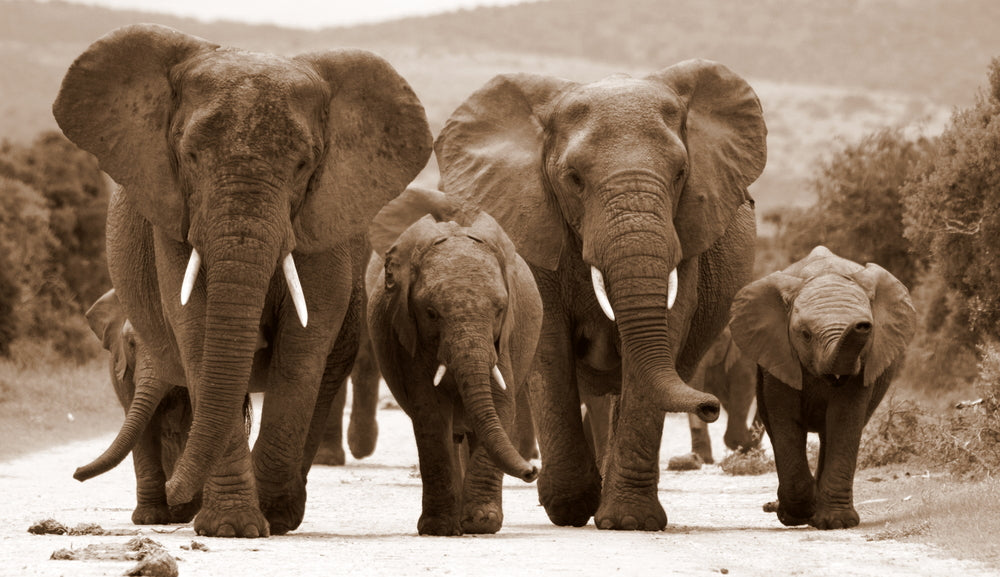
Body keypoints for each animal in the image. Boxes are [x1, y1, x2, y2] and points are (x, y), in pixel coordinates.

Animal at [85, 289, 200, 525]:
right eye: (130, 343)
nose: (76, 473)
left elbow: (192, 423)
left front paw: (180, 508)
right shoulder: (124, 370)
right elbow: (142, 426)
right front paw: (149, 518)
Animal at [366, 186, 542, 535]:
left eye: (500, 310)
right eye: (431, 313)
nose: (532, 471)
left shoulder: (505, 338)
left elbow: (500, 401)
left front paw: (481, 523)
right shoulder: (408, 334)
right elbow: (430, 412)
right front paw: (439, 528)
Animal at [729, 246, 916, 529]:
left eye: (869, 331)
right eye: (805, 335)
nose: (862, 324)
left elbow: (843, 419)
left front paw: (835, 522)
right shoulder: (779, 355)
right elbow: (785, 419)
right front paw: (796, 515)